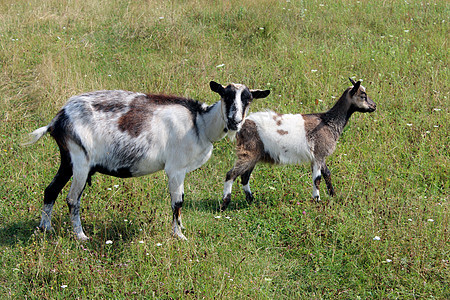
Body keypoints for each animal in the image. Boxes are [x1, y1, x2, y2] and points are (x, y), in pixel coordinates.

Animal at [24, 81, 268, 240]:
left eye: (248, 99)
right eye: (225, 95)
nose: (234, 121)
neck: (200, 124)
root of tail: (58, 119)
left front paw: (181, 230)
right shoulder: (176, 169)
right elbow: (178, 202)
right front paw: (179, 236)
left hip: (68, 161)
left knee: (50, 190)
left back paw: (45, 229)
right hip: (80, 161)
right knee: (72, 199)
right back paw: (81, 236)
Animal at [220, 78, 374, 210]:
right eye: (363, 95)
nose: (374, 106)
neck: (328, 122)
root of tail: (242, 125)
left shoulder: (320, 156)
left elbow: (327, 174)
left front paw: (332, 195)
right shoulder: (318, 153)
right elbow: (317, 179)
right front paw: (317, 200)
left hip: (254, 154)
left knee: (244, 177)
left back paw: (251, 199)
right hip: (248, 151)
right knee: (231, 174)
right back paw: (225, 203)